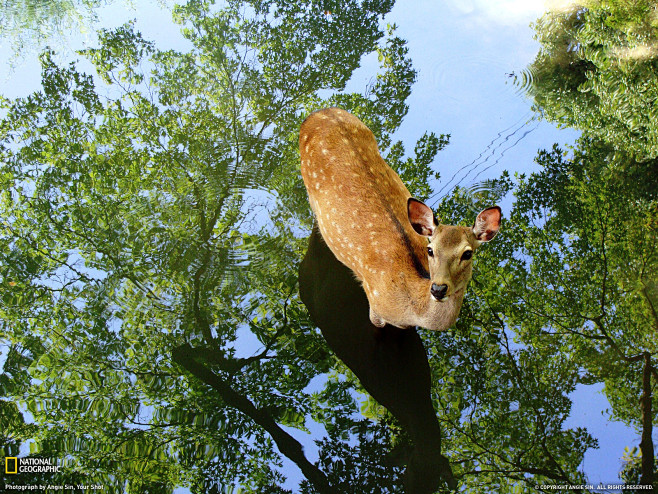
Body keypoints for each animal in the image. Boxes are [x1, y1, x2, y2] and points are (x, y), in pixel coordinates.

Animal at [300, 108, 500, 332]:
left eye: (467, 253)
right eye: (431, 250)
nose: (438, 288)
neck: (410, 309)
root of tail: (319, 112)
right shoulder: (375, 307)